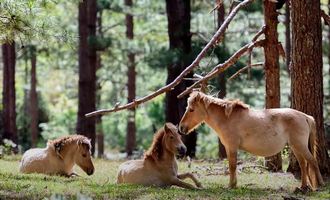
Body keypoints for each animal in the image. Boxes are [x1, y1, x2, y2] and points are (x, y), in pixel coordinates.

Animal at [179, 91, 324, 191]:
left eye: (191, 109)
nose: (181, 127)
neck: (227, 118)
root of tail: (305, 116)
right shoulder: (229, 148)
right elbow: (232, 166)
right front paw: (233, 185)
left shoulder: (232, 147)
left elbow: (232, 166)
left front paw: (231, 186)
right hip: (296, 147)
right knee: (303, 164)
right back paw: (303, 187)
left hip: (300, 146)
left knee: (312, 161)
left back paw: (320, 185)